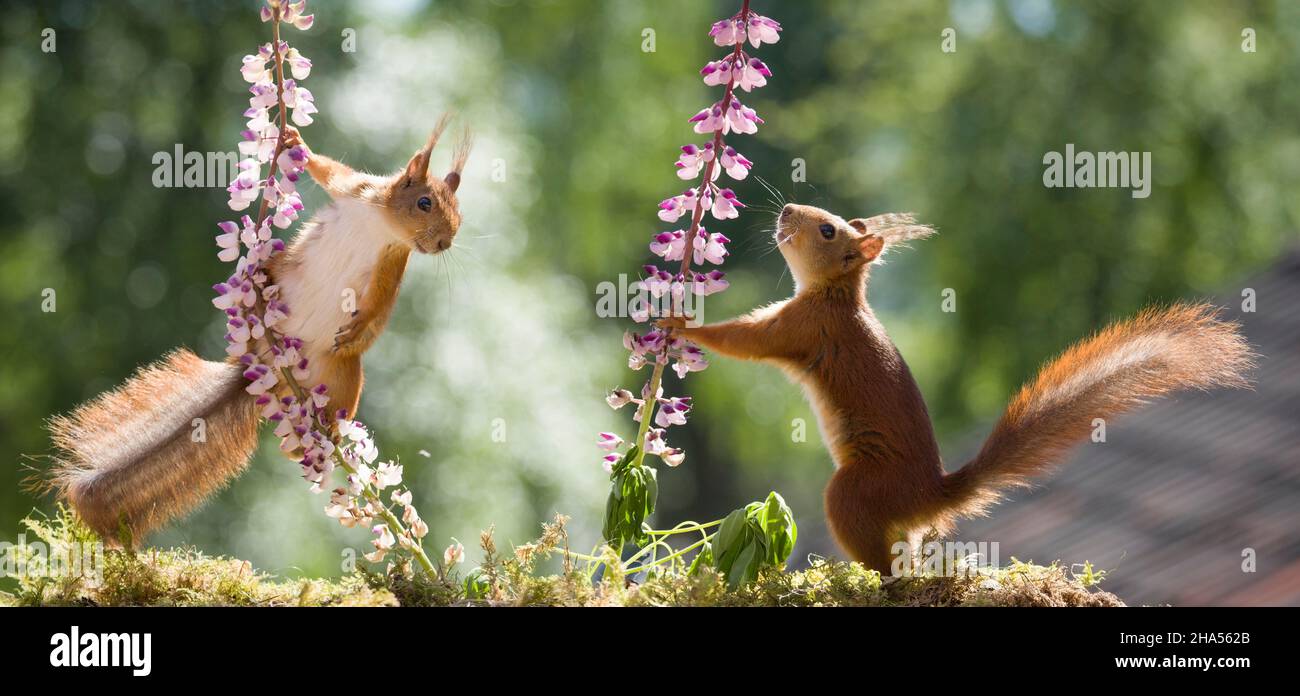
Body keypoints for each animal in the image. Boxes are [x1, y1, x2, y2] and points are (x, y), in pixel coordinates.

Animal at [47, 120, 473, 538]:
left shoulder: (392, 260)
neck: (381, 222)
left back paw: (329, 438)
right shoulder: (355, 190)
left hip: (345, 376)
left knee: (307, 435)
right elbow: (328, 171)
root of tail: (265, 368)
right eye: (424, 203)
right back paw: (256, 282)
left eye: (460, 215)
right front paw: (297, 142)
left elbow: (380, 303)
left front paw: (359, 329)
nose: (444, 242)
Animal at [665, 204, 1253, 575]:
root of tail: (930, 495)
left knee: (887, 570)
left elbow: (745, 339)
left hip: (855, 491)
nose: (786, 209)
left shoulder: (803, 328)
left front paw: (678, 321)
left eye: (828, 230)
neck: (836, 293)